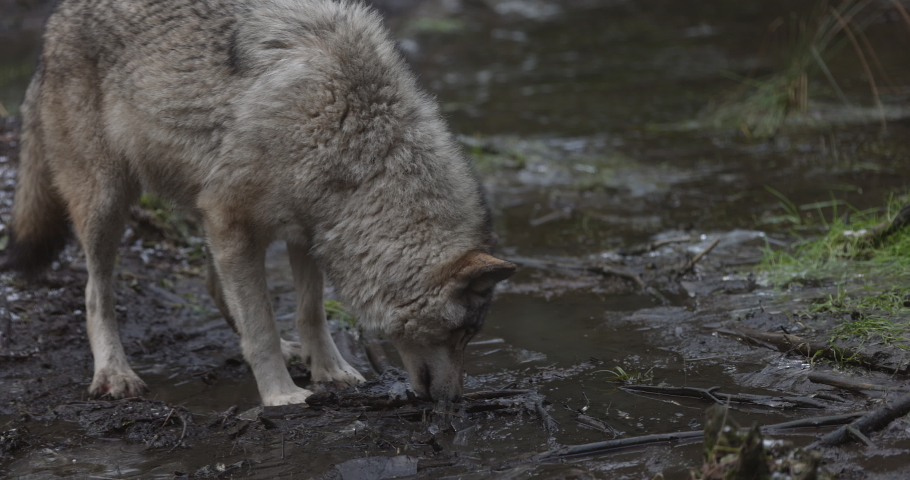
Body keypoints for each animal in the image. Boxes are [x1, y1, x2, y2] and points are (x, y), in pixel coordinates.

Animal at [5, 0, 516, 406]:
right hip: (108, 203)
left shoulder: (307, 229)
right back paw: (114, 373)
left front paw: (329, 370)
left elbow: (309, 313)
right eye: (461, 334)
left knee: (213, 285)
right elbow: (261, 327)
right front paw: (281, 395)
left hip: (197, 207)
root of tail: (56, 18)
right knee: (96, 294)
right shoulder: (232, 222)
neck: (354, 137)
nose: (454, 400)